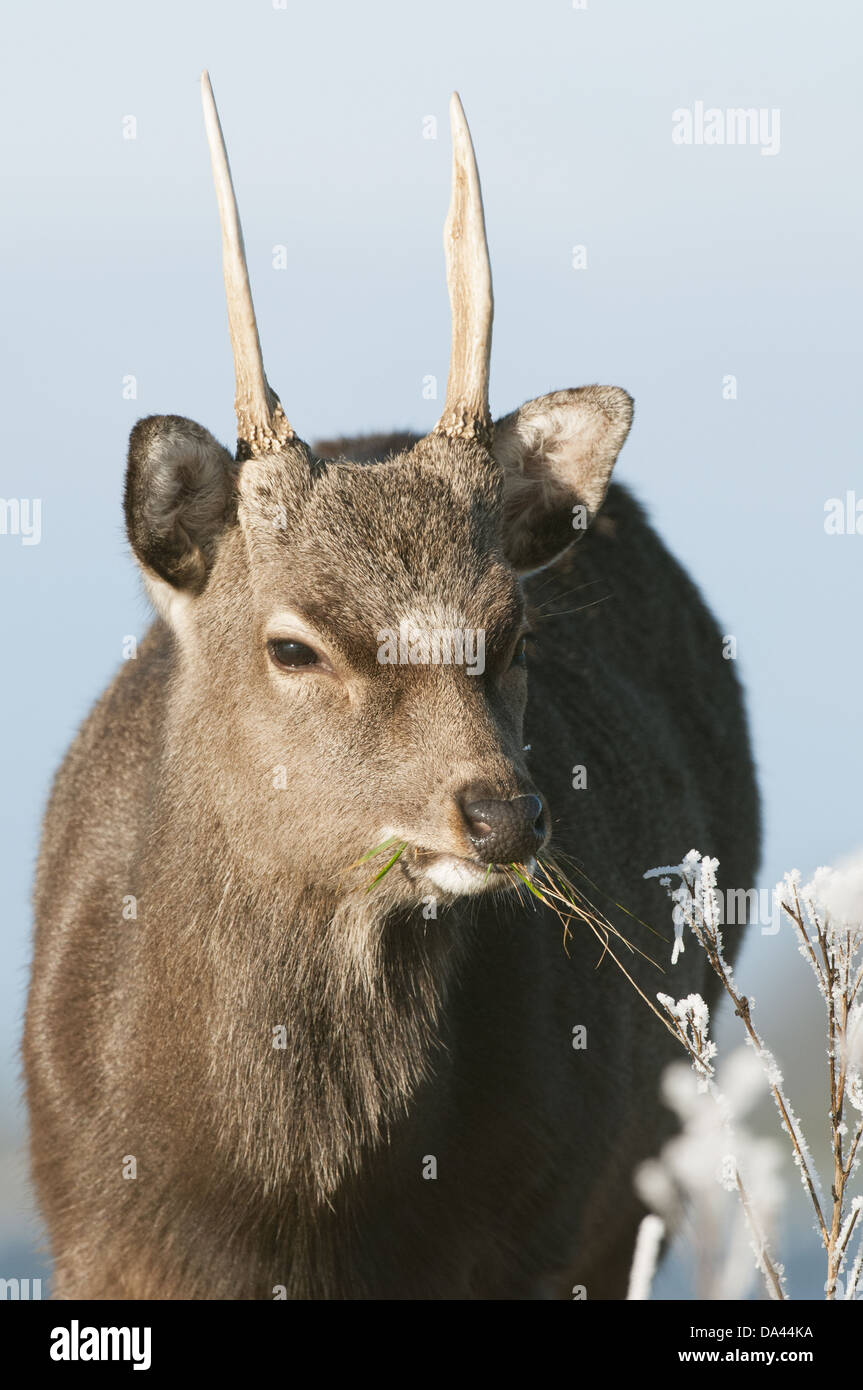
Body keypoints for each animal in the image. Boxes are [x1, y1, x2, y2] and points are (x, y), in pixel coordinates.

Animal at [24, 72, 760, 1300]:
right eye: (292, 646)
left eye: (511, 632)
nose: (504, 813)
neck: (290, 1211)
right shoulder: (95, 1238)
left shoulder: (534, 1232)